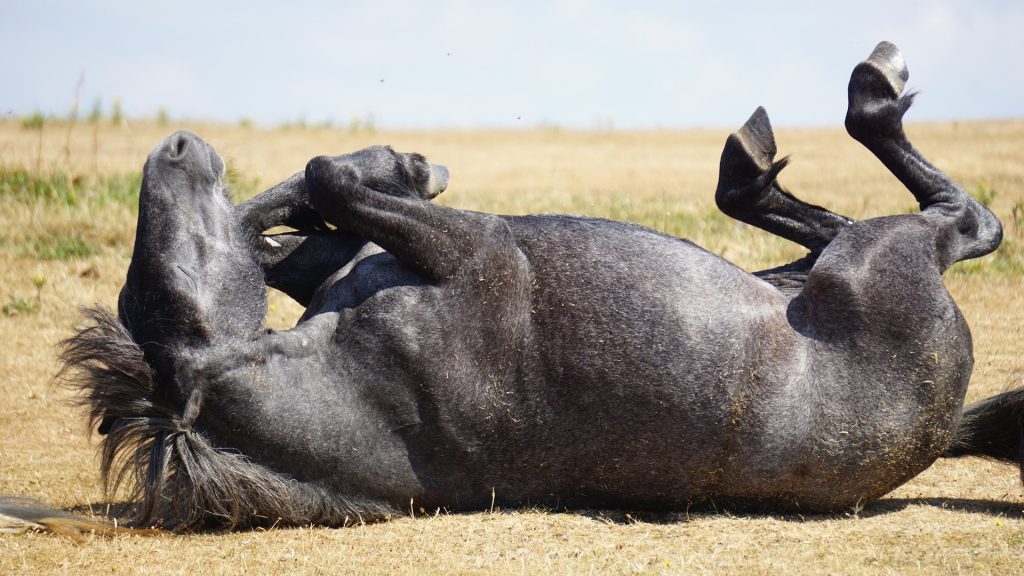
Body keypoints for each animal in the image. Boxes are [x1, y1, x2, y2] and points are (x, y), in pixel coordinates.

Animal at [54, 41, 1015, 528]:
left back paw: (759, 162)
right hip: (877, 259)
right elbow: (326, 180)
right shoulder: (480, 251)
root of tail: (940, 423)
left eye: (151, 294)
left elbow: (303, 210)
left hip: (802, 274)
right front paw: (401, 165)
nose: (178, 148)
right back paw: (866, 90)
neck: (357, 389)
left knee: (820, 222)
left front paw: (396, 168)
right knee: (965, 219)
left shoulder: (349, 262)